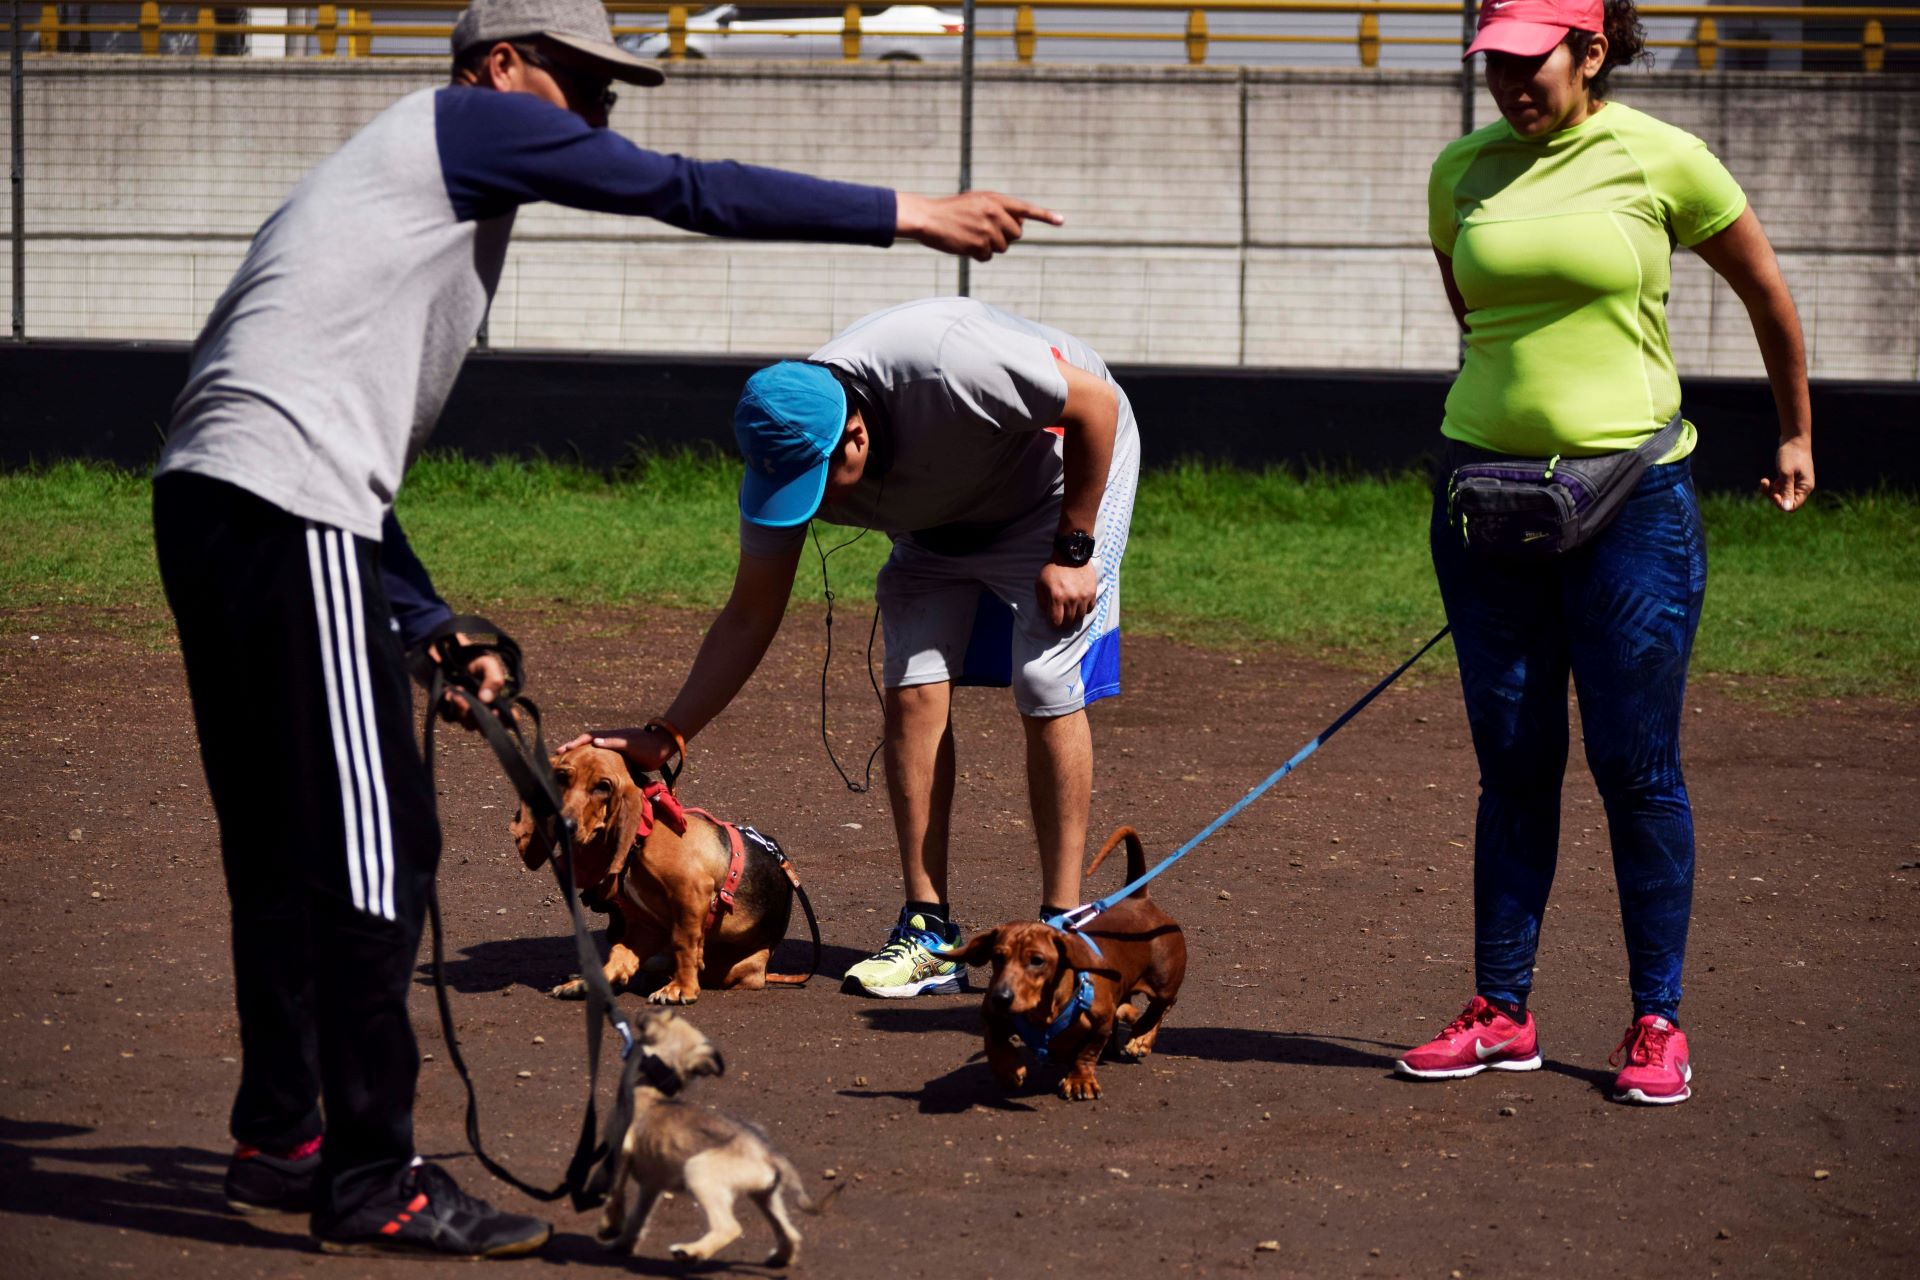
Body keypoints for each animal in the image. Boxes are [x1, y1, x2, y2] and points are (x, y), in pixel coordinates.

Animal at [595, 1013, 829, 1266]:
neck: (650, 1088)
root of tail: (769, 1154)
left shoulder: (621, 1151)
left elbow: (615, 1192)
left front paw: (609, 1226)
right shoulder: (652, 1186)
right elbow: (637, 1219)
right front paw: (621, 1245)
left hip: (699, 1172)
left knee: (729, 1228)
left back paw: (690, 1252)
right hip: (766, 1196)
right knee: (791, 1235)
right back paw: (778, 1258)